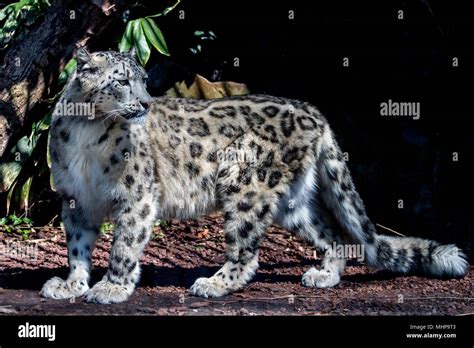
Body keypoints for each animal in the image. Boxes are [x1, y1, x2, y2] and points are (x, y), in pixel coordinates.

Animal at [39, 47, 468, 304]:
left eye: (143, 79)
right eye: (122, 80)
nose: (144, 102)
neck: (87, 130)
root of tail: (314, 111)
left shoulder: (136, 195)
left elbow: (124, 246)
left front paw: (111, 287)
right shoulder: (75, 199)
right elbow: (77, 246)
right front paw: (71, 284)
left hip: (245, 180)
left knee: (247, 251)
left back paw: (214, 283)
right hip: (292, 201)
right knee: (329, 233)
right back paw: (324, 275)